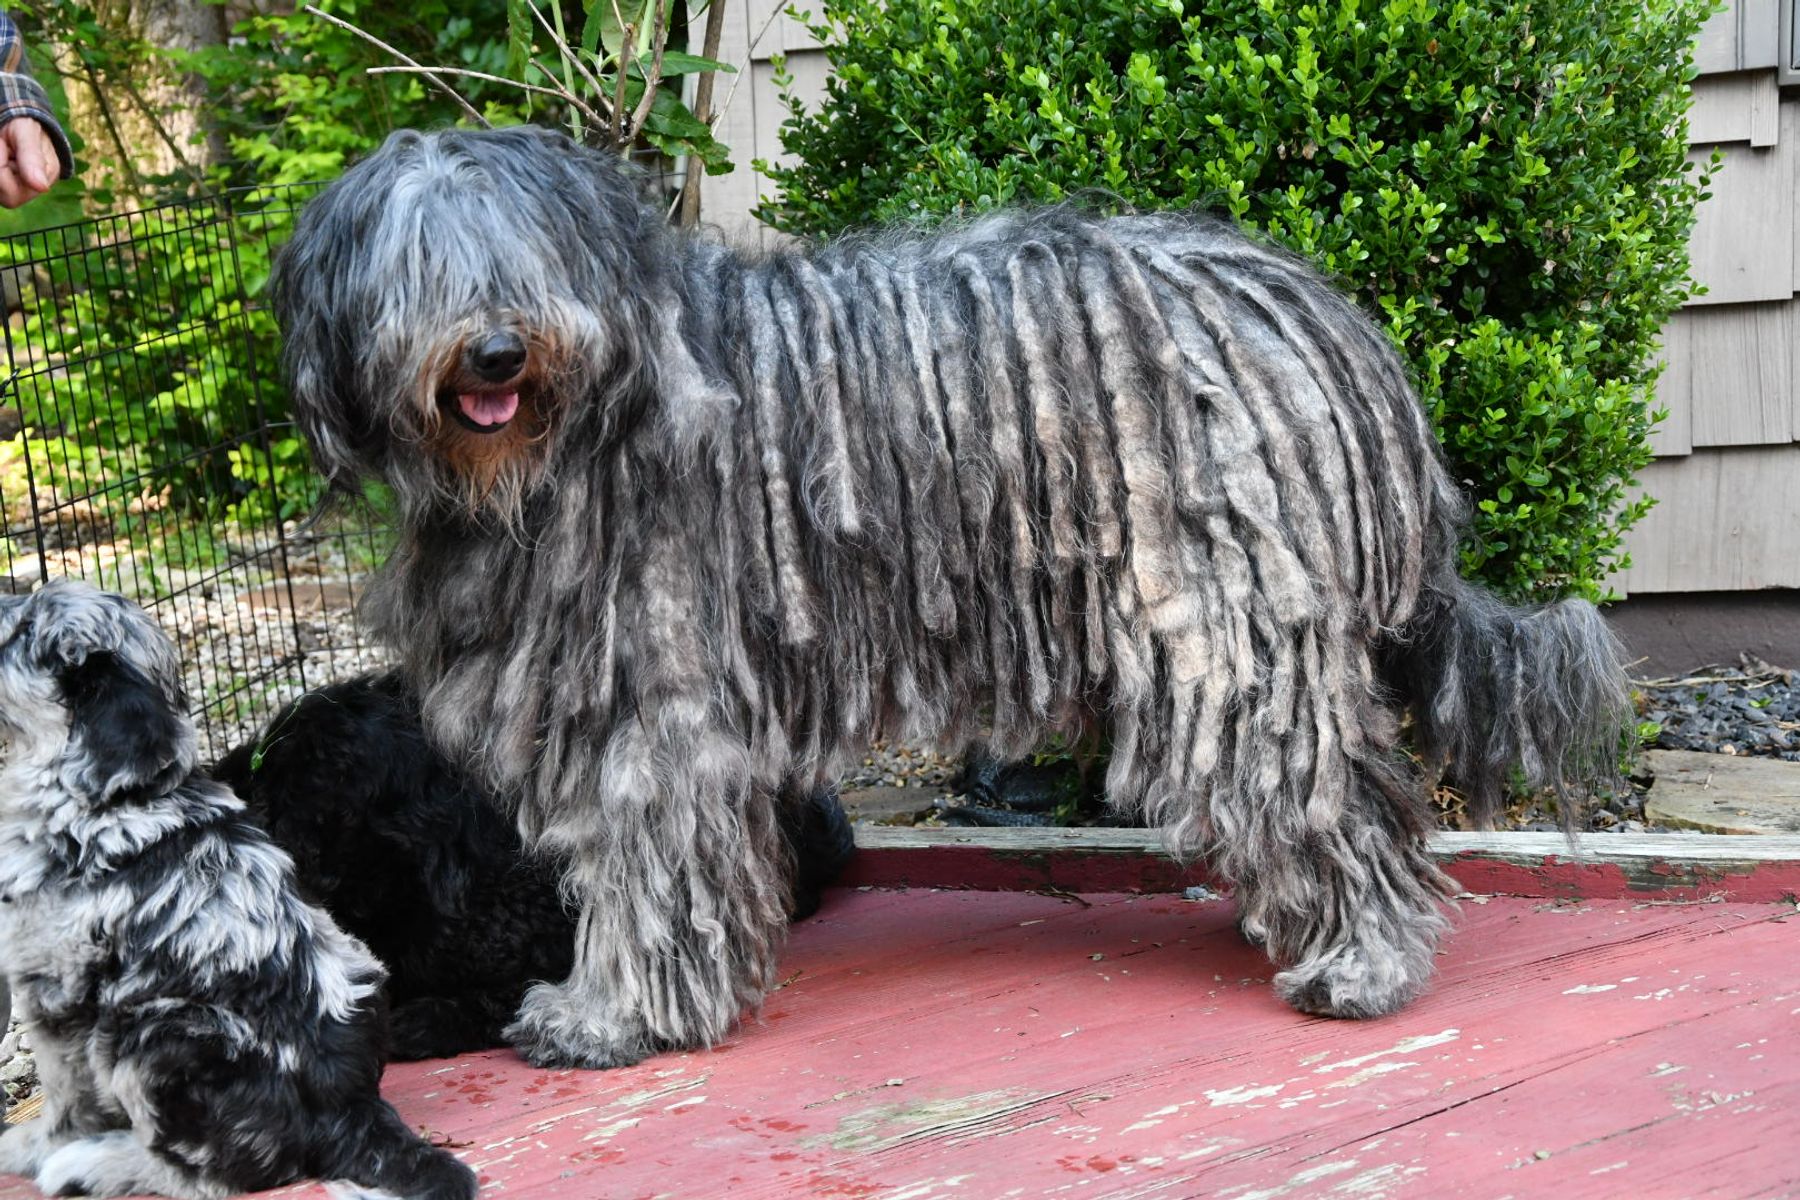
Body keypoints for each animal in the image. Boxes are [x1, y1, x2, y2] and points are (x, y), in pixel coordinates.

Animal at [0, 575, 475, 1194]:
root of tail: (351, 1109)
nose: (5, 598)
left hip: (158, 1032)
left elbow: (67, 1096)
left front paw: (34, 1146)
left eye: (22, 631)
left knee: (205, 1176)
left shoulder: (55, 991)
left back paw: (93, 1163)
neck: (111, 796)